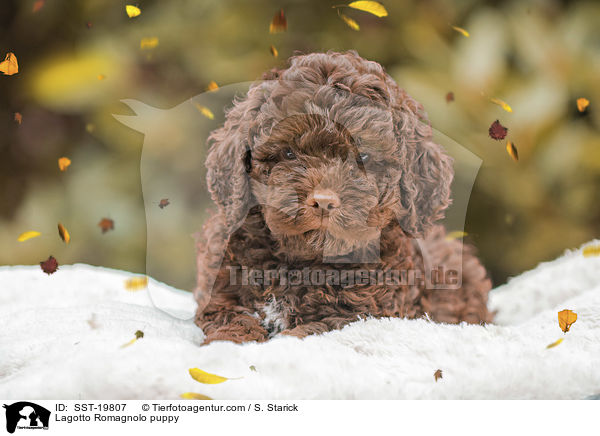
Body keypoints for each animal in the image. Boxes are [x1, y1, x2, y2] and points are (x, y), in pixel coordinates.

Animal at [195, 51, 490, 344]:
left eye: (364, 157)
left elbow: (311, 331)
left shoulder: (362, 315)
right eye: (289, 153)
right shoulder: (222, 288)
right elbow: (229, 317)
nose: (324, 201)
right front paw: (232, 338)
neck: (302, 262)